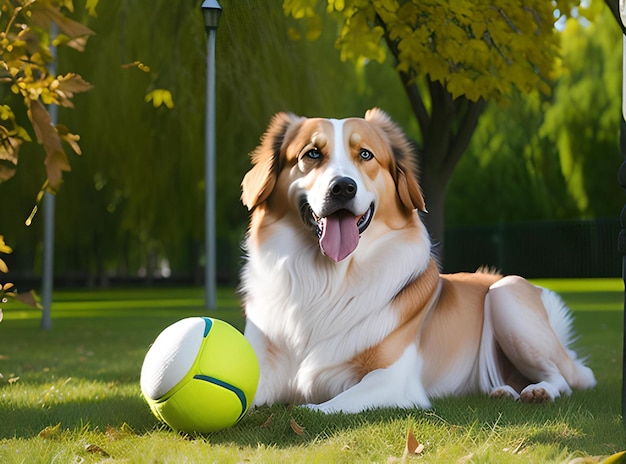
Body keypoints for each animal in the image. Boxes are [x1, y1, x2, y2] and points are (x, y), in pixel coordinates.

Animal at [239, 109, 596, 414]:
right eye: (311, 154)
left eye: (365, 154)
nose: (342, 187)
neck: (326, 279)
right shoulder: (263, 364)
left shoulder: (393, 379)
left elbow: (326, 405)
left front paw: (303, 410)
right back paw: (503, 391)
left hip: (506, 293)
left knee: (565, 377)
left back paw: (540, 390)